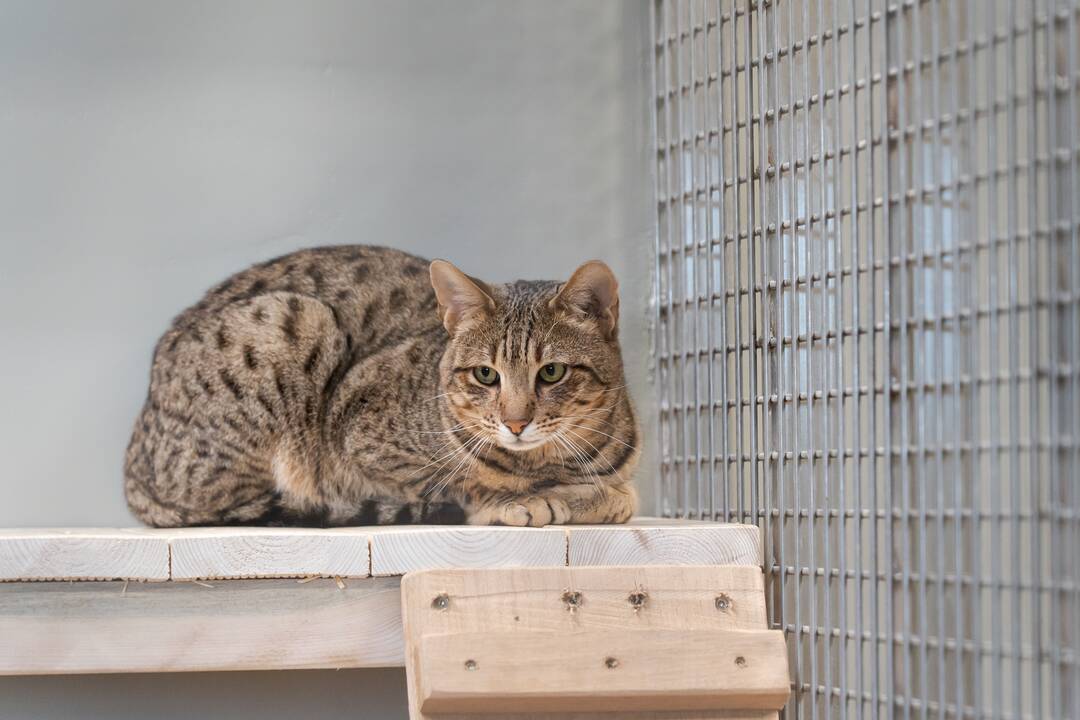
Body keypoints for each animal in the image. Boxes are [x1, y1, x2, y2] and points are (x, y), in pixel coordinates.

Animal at [122, 245, 635, 526]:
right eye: (486, 374)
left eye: (551, 372)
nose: (515, 423)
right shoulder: (358, 433)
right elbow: (457, 481)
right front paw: (524, 499)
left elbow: (619, 493)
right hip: (293, 320)